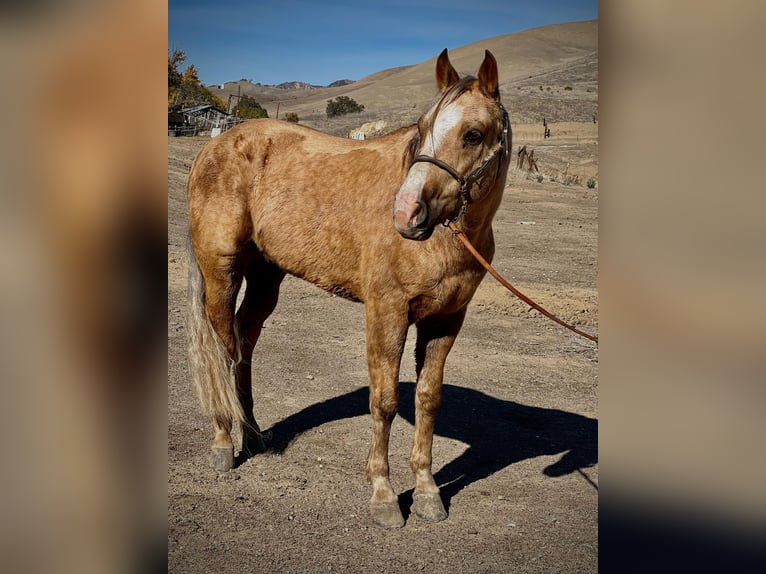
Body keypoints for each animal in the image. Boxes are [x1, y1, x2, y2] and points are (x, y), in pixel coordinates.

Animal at [185, 50, 510, 532]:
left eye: (473, 134)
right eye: (422, 127)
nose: (406, 213)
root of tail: (213, 147)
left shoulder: (446, 320)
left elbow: (428, 400)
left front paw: (428, 492)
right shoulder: (387, 312)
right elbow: (385, 401)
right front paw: (384, 497)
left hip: (266, 279)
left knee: (244, 345)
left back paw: (255, 435)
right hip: (221, 274)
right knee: (223, 350)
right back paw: (225, 442)